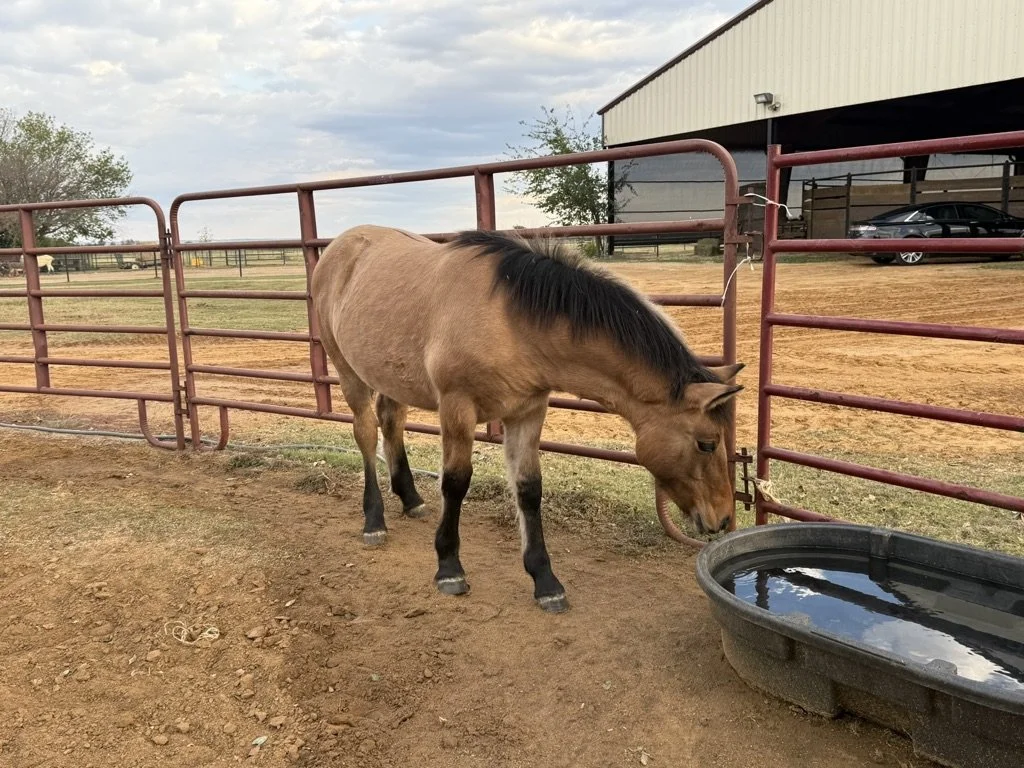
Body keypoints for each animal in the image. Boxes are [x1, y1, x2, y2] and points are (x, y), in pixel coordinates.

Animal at [310, 225, 743, 613]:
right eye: (707, 443)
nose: (723, 518)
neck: (510, 322)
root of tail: (340, 246)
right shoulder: (457, 407)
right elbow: (455, 483)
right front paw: (449, 567)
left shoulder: (528, 412)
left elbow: (530, 489)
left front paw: (545, 581)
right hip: (348, 372)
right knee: (366, 433)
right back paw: (374, 520)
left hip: (391, 376)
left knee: (391, 422)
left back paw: (411, 499)